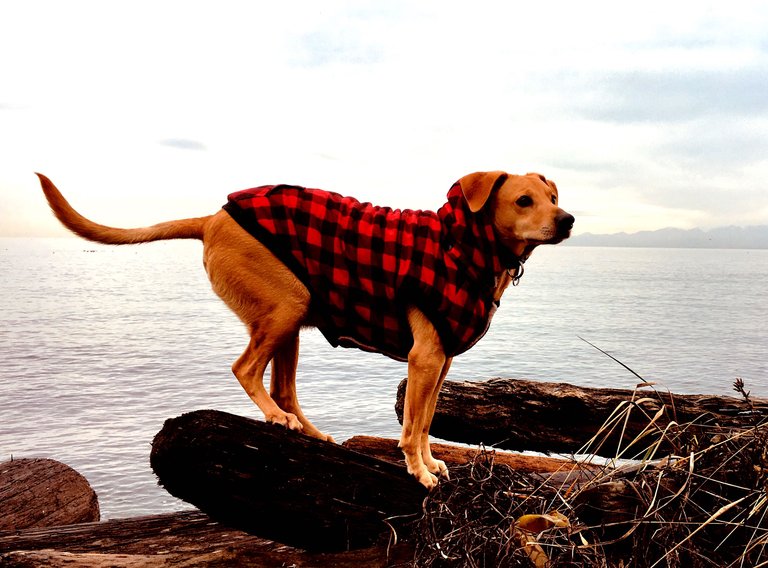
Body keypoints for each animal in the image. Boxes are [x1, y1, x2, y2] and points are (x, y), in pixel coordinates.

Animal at [37, 172, 576, 488]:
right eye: (524, 200)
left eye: (553, 197)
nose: (569, 219)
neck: (467, 246)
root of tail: (212, 219)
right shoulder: (424, 358)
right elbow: (410, 428)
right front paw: (419, 472)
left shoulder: (440, 362)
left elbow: (424, 423)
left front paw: (429, 462)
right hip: (285, 308)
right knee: (246, 370)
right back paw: (277, 419)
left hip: (293, 322)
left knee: (285, 389)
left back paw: (307, 431)